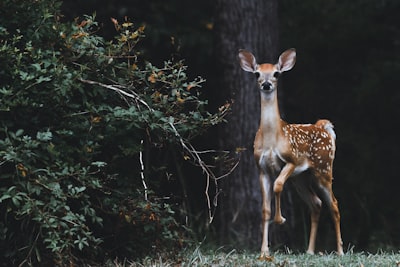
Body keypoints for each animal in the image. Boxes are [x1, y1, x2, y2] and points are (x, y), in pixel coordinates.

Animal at [238, 48, 344, 260]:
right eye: (257, 74)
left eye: (276, 73)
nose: (267, 84)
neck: (272, 138)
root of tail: (324, 127)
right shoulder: (261, 168)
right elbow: (264, 209)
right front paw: (264, 252)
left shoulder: (291, 160)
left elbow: (278, 185)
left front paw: (280, 219)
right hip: (301, 178)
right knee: (316, 203)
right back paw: (310, 250)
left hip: (323, 169)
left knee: (334, 205)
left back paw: (340, 251)